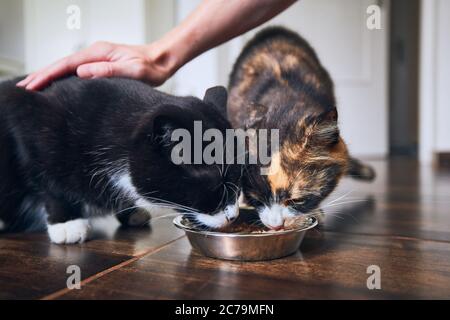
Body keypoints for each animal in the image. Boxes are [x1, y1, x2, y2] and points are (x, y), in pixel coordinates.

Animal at [0, 77, 241, 242]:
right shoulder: (30, 121)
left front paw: (130, 212)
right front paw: (67, 223)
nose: (233, 216)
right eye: (214, 184)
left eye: (239, 179)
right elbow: (48, 182)